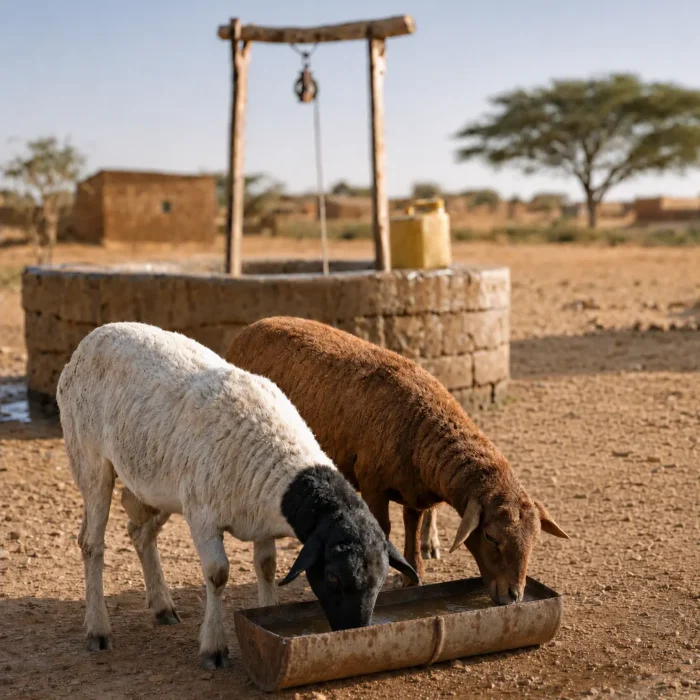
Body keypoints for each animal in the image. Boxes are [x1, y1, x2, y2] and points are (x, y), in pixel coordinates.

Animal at [56, 322, 417, 669]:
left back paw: (162, 607)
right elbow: (218, 575)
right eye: (332, 577)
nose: (352, 630)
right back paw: (98, 630)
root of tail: (92, 338)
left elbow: (267, 567)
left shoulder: (261, 520)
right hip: (90, 460)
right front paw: (214, 649)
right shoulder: (202, 516)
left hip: (154, 483)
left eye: (381, 579)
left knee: (140, 532)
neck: (276, 450)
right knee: (91, 544)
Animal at [225, 316, 569, 604]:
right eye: (490, 536)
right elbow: (385, 528)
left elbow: (412, 528)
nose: (513, 597)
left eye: (535, 541)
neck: (421, 426)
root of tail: (250, 327)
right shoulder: (372, 483)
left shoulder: (414, 492)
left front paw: (413, 577)